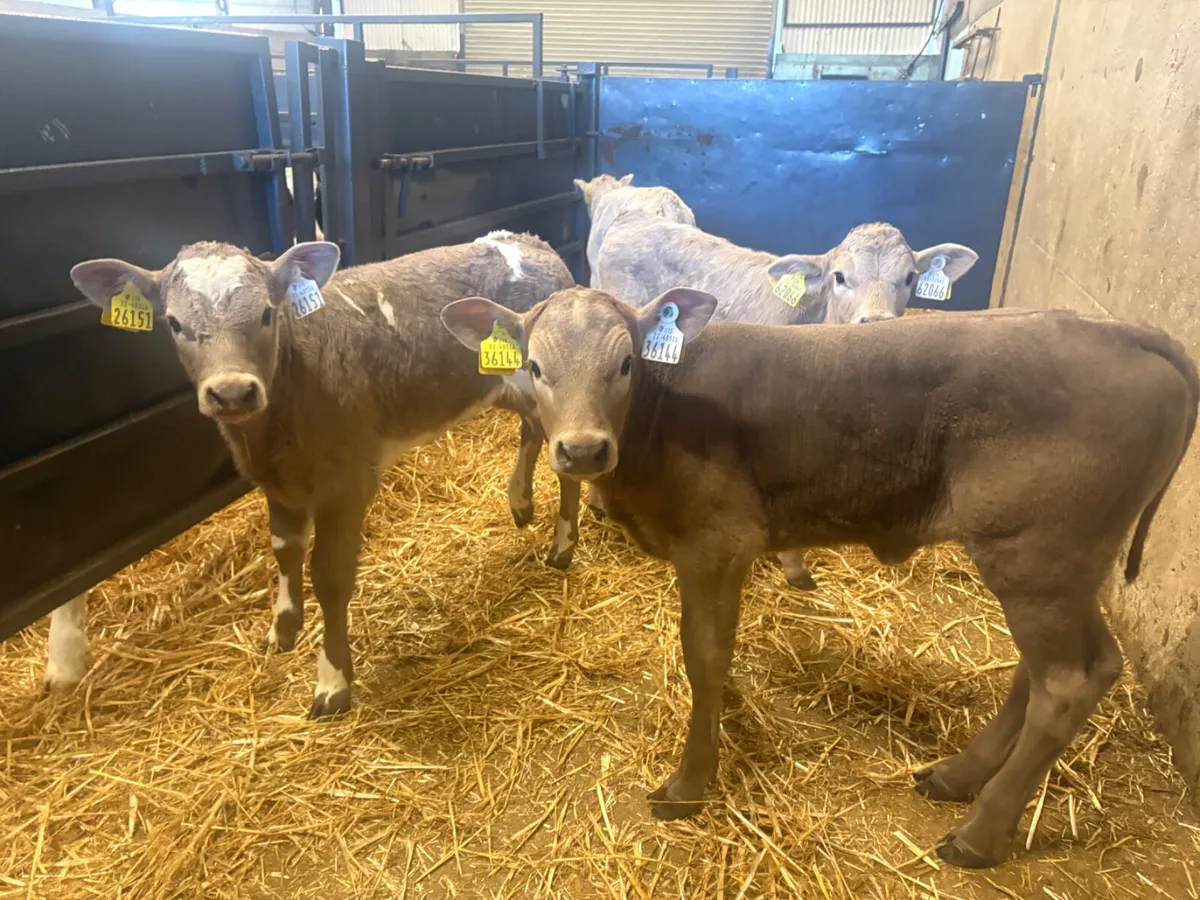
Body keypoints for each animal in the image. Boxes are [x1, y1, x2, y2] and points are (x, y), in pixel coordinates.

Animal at [64, 232, 576, 716]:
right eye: (173, 323)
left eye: (267, 314)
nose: (232, 393)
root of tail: (526, 241)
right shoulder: (275, 482)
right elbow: (284, 550)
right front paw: (283, 628)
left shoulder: (347, 484)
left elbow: (329, 577)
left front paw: (332, 682)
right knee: (531, 433)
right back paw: (520, 500)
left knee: (564, 458)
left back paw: (562, 545)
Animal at [440, 286, 1197, 868]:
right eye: (535, 365)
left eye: (625, 361)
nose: (583, 449)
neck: (663, 413)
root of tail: (1120, 331)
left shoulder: (718, 544)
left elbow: (703, 656)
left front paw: (690, 781)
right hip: (1057, 566)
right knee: (1057, 670)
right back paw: (957, 775)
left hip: (1035, 554)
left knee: (1068, 679)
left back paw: (978, 835)